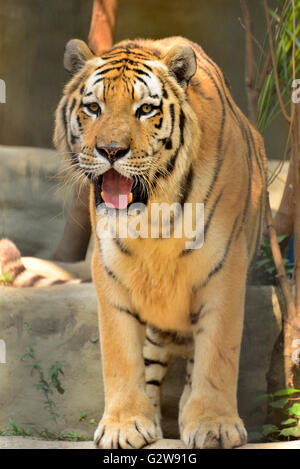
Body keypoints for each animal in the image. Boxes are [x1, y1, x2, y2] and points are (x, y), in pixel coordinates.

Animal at [52, 34, 266, 448]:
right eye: (93, 107)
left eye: (146, 109)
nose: (111, 151)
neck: (152, 214)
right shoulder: (110, 271)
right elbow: (120, 355)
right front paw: (123, 425)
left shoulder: (225, 266)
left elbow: (218, 352)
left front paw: (214, 425)